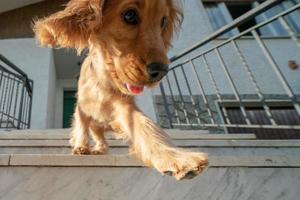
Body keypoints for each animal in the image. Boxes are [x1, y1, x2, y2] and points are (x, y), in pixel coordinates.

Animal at [34, 0, 207, 180]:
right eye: (129, 15)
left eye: (163, 21)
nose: (161, 71)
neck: (102, 80)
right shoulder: (81, 107)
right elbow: (81, 126)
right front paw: (81, 146)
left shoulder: (124, 106)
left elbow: (145, 125)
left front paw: (176, 157)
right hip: (96, 126)